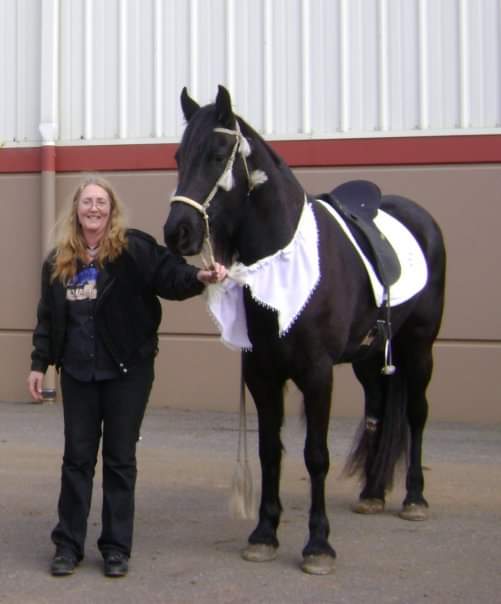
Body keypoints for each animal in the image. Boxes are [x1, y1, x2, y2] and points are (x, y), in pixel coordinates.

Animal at [163, 85, 446, 575]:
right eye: (179, 156)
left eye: (217, 154)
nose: (177, 231)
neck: (281, 261)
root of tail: (421, 219)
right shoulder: (261, 374)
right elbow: (269, 451)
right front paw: (263, 534)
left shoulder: (317, 374)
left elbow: (316, 455)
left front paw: (318, 544)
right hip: (371, 358)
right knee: (378, 409)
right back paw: (373, 494)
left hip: (419, 349)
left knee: (416, 414)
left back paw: (414, 499)